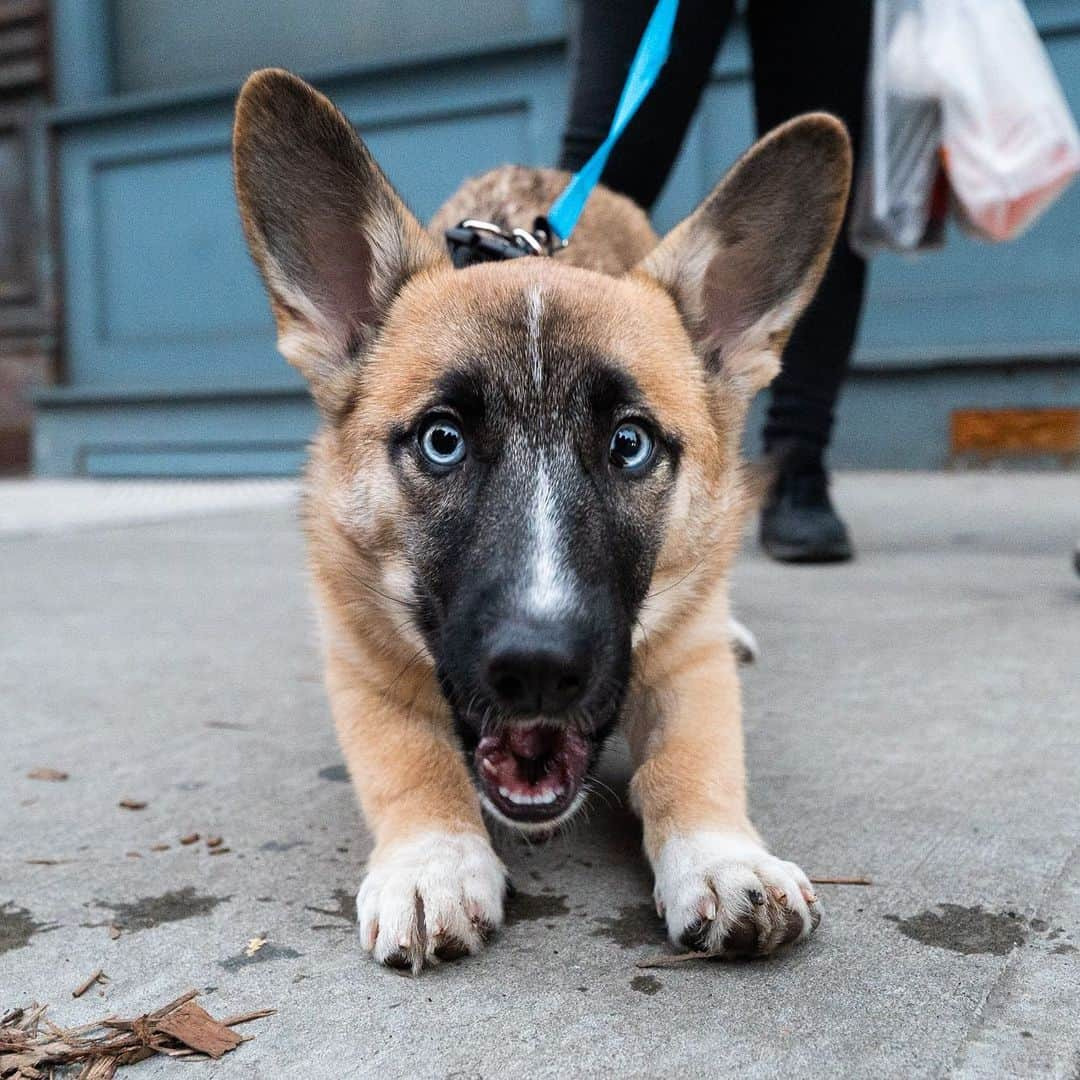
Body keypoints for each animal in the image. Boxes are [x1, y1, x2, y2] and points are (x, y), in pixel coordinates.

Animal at [232, 71, 846, 976]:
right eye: (442, 440)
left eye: (629, 444)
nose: (537, 671)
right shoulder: (360, 663)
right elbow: (409, 761)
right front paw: (433, 861)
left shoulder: (685, 668)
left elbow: (693, 761)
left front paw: (723, 856)